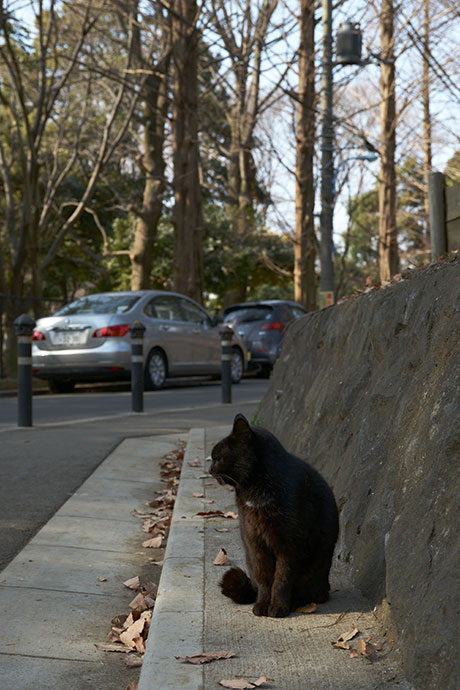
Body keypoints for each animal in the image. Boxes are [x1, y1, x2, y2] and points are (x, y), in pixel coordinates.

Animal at [210, 412, 340, 616]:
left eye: (217, 458)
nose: (209, 470)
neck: (255, 488)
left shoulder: (289, 545)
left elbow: (282, 579)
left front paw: (278, 607)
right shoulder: (254, 541)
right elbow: (264, 578)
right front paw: (263, 605)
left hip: (314, 573)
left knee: (316, 595)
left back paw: (296, 603)